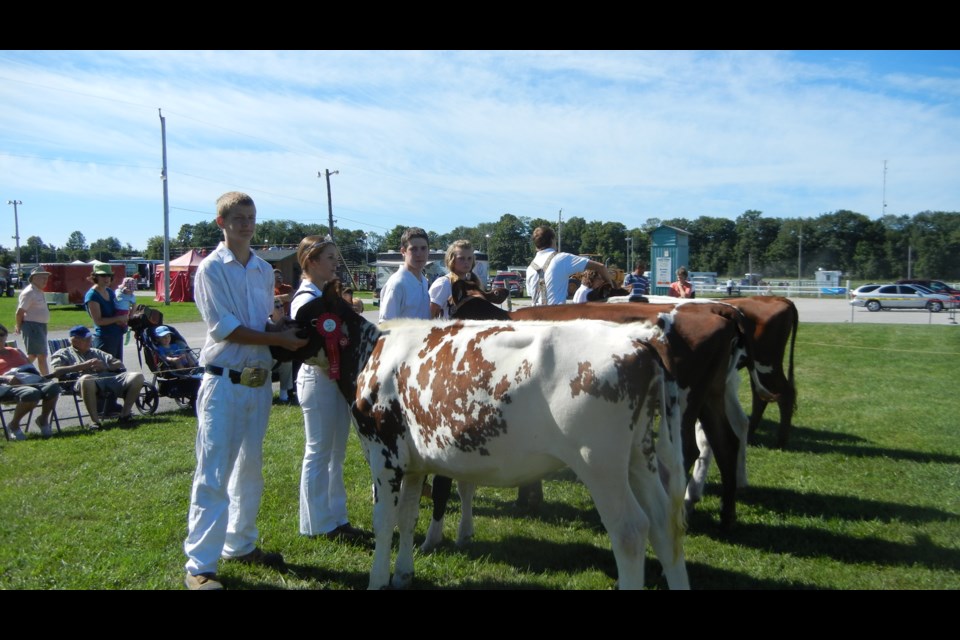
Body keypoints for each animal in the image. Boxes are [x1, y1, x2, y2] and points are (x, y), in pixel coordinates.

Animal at [284, 288, 688, 592]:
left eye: (304, 316)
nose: (277, 334)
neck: (369, 353)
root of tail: (638, 339)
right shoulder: (414, 463)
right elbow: (409, 517)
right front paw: (403, 574)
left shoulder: (384, 455)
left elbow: (384, 522)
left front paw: (378, 579)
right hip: (639, 454)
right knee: (663, 523)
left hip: (599, 462)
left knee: (631, 531)